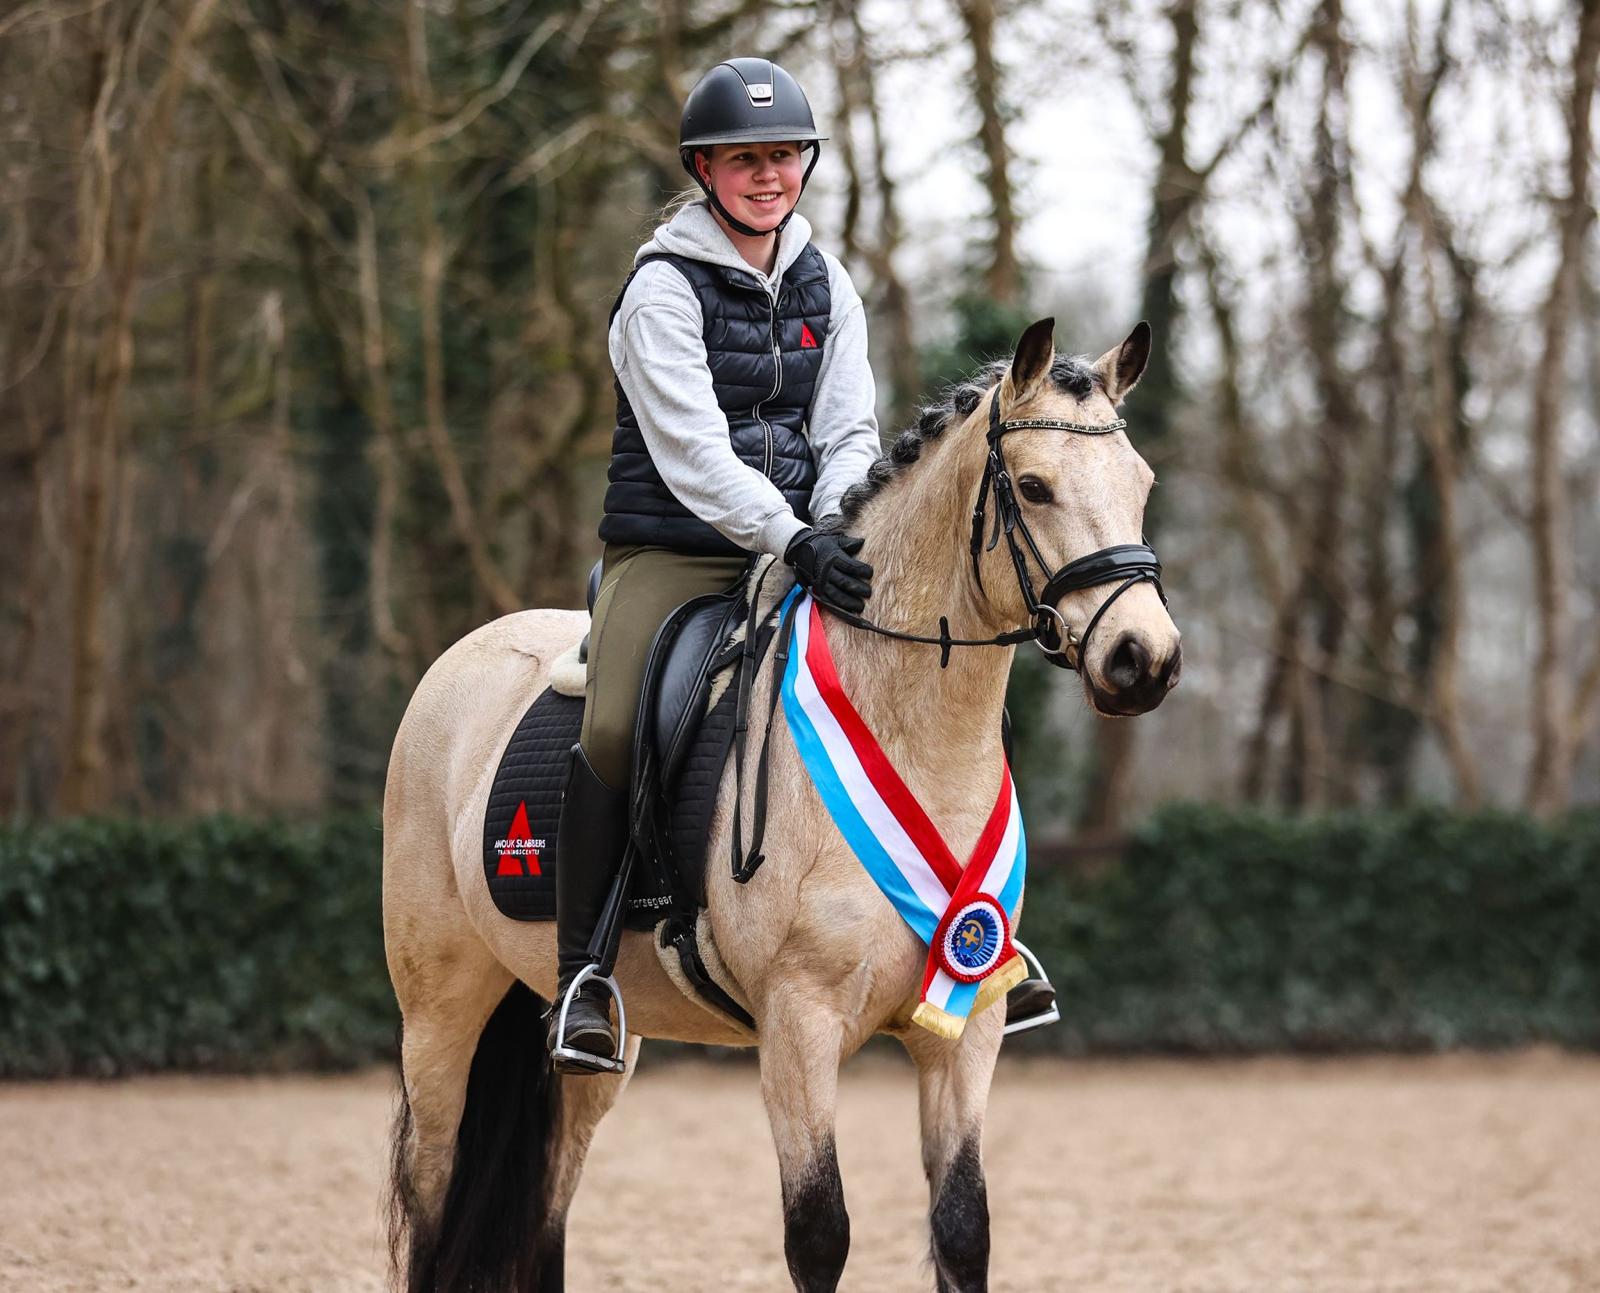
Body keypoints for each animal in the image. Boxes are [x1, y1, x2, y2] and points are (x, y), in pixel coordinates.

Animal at [381, 317, 1182, 1293]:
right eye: (1033, 487)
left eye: (1142, 484)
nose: (1145, 658)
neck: (910, 730)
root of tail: (462, 660)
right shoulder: (799, 1026)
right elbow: (819, 1233)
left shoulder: (966, 1029)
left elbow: (963, 1227)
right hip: (439, 1014)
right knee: (432, 1190)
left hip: (593, 1051)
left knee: (548, 1210)